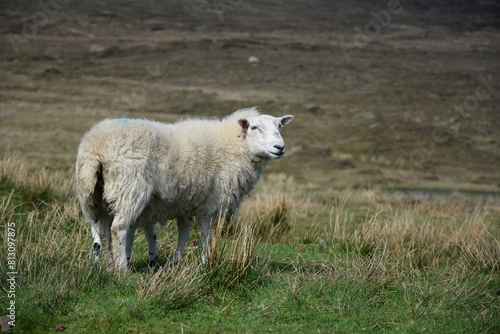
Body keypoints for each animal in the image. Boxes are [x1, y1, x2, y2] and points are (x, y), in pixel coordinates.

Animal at [74, 108, 292, 270]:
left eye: (279, 126)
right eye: (254, 127)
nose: (279, 147)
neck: (234, 145)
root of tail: (96, 146)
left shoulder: (185, 203)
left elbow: (184, 234)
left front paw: (175, 262)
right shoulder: (209, 204)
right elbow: (206, 235)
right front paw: (206, 263)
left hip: (94, 197)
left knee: (103, 233)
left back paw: (109, 266)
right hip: (129, 189)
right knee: (119, 228)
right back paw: (122, 270)